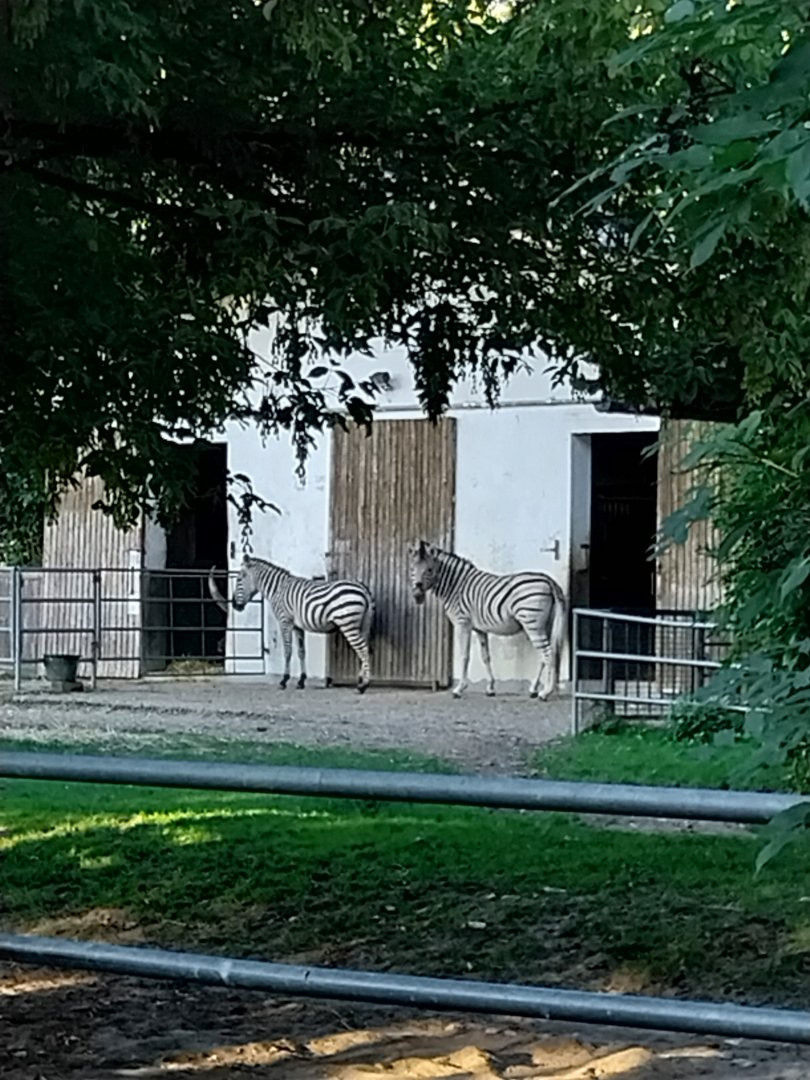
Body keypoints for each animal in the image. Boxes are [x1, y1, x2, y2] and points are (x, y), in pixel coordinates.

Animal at [208, 556, 374, 693]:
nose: (235, 606)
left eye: (239, 580)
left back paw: (363, 685)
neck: (277, 589)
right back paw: (361, 681)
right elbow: (301, 652)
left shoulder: (285, 621)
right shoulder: (297, 626)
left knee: (362, 649)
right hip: (363, 624)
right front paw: (301, 680)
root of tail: (363, 589)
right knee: (364, 648)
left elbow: (287, 651)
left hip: (347, 623)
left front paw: (284, 680)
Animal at [408, 540, 566, 700]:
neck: (456, 586)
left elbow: (464, 655)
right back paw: (534, 689)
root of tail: (548, 580)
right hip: (545, 624)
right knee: (545, 656)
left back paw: (545, 692)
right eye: (412, 569)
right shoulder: (480, 629)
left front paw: (459, 689)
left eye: (429, 570)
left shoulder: (462, 623)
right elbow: (486, 657)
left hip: (532, 623)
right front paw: (490, 688)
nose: (417, 596)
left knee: (548, 653)